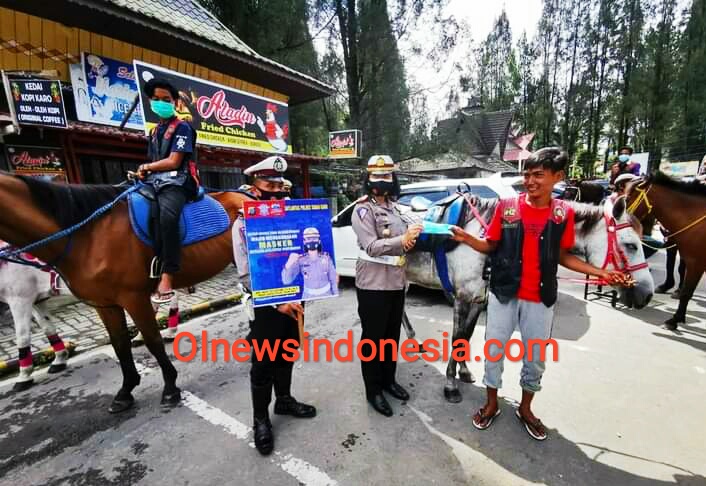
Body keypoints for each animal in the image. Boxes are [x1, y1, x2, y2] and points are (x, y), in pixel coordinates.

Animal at [0, 173, 250, 412]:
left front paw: (170, 387)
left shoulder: (133, 297)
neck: (87, 235)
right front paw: (125, 391)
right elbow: (119, 344)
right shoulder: (104, 303)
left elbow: (153, 340)